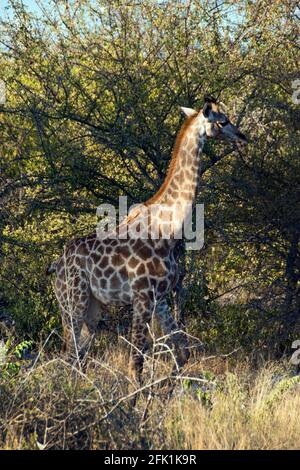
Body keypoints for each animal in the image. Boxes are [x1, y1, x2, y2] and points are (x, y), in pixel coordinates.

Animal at [48, 95, 247, 382]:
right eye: (223, 121)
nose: (242, 137)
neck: (169, 227)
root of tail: (56, 265)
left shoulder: (161, 298)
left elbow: (183, 352)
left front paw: (166, 391)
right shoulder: (142, 296)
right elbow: (136, 363)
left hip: (93, 307)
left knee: (78, 356)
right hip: (73, 301)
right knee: (69, 355)